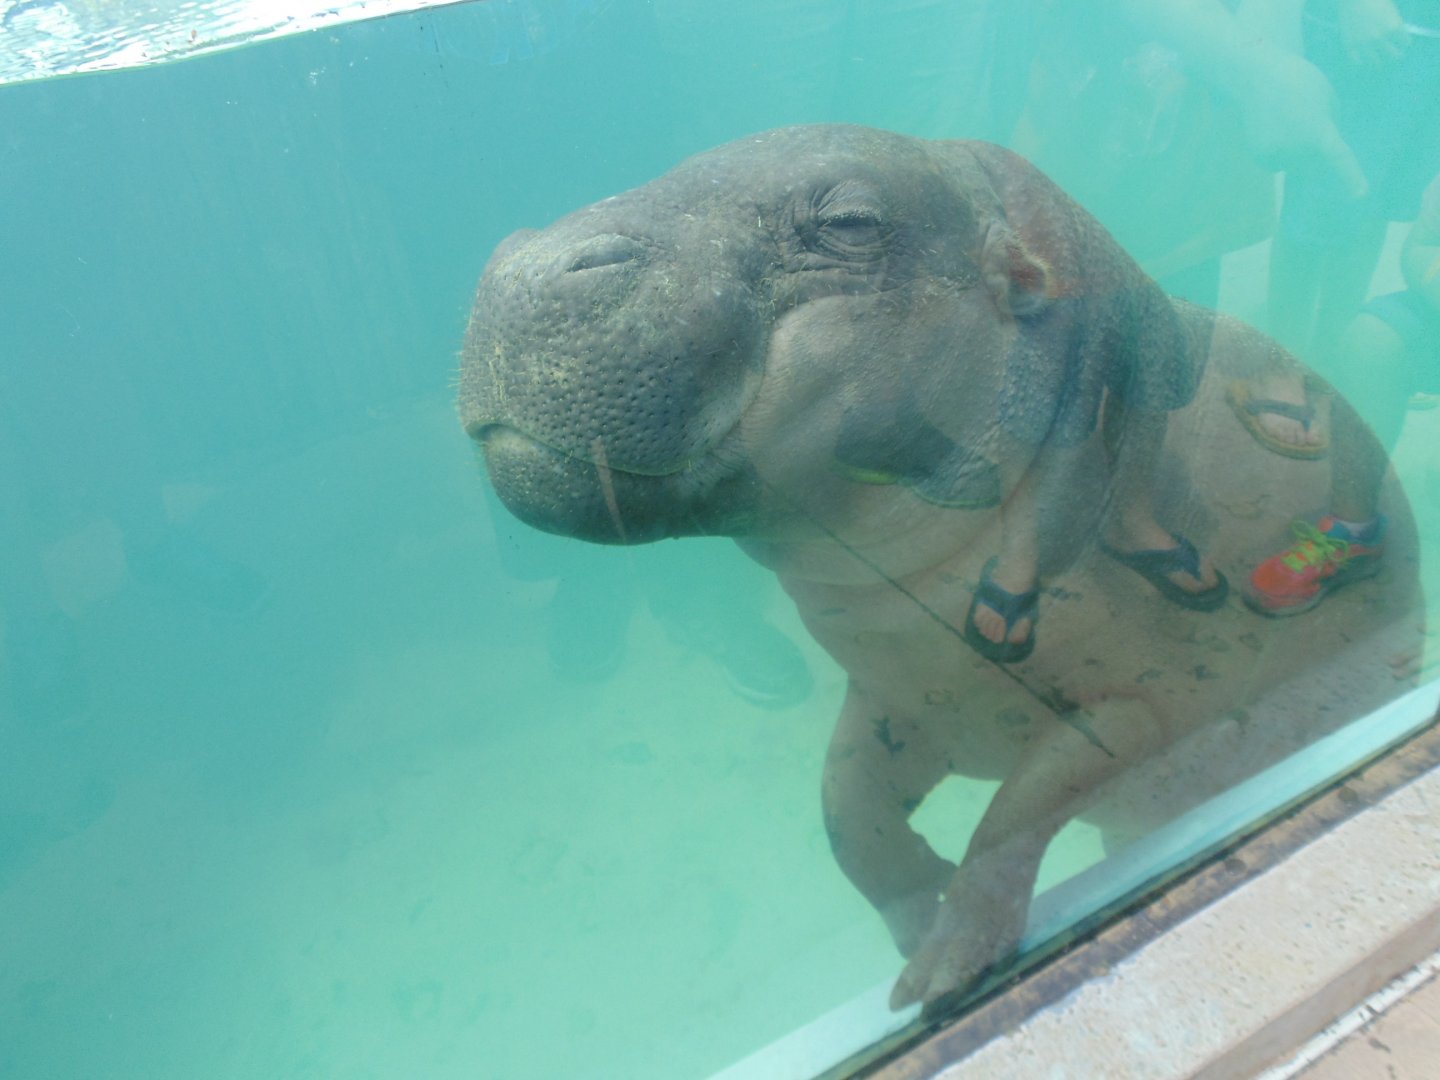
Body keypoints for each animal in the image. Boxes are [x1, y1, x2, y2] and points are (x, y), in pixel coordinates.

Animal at [459, 125, 1421, 1010]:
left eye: (851, 221)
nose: (525, 259)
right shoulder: (896, 697)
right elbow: (847, 813)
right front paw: (914, 924)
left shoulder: (1136, 710)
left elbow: (1018, 810)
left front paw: (942, 975)